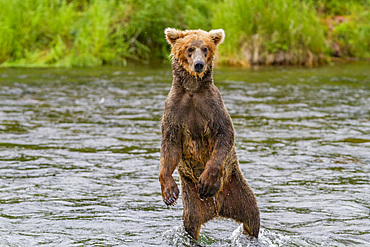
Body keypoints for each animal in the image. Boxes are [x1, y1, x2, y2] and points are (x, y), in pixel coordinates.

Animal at [159, 28, 260, 242]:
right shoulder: (174, 110)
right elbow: (169, 147)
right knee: (191, 223)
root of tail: (217, 206)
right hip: (192, 198)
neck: (192, 89)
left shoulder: (212, 106)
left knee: (252, 216)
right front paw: (169, 193)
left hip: (237, 187)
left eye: (205, 48)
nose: (199, 64)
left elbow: (225, 135)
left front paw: (207, 180)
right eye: (189, 48)